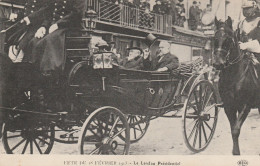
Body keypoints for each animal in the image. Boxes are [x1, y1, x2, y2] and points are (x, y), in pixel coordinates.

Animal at [212, 16, 260, 155]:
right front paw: (235, 151)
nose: (218, 64)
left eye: (229, 39)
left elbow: (235, 130)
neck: (233, 77)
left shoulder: (245, 106)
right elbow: (233, 128)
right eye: (214, 38)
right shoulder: (229, 106)